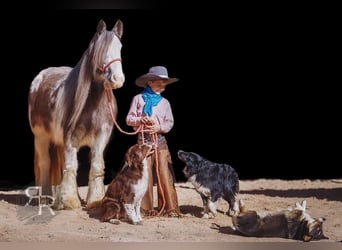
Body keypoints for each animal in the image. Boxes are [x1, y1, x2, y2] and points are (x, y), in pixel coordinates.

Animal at [27, 19, 124, 209]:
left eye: (120, 47)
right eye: (100, 51)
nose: (118, 79)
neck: (92, 105)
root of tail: (40, 77)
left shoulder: (101, 137)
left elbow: (96, 165)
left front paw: (94, 199)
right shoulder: (70, 138)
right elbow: (71, 166)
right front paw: (70, 202)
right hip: (41, 137)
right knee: (45, 163)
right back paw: (47, 198)